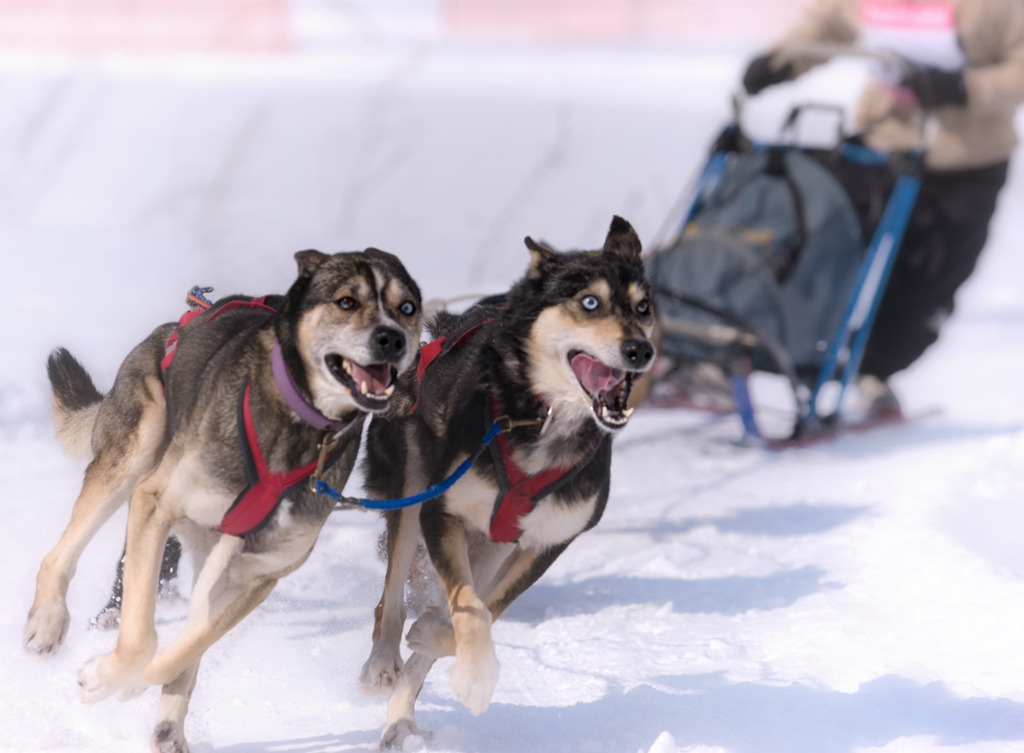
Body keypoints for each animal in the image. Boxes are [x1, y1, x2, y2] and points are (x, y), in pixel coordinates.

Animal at [24, 248, 423, 753]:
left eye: (407, 307)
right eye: (346, 301)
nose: (392, 339)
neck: (301, 428)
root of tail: (173, 327)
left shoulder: (259, 573)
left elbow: (184, 646)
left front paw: (126, 683)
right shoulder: (155, 503)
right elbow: (141, 639)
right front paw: (105, 677)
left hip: (212, 548)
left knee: (190, 633)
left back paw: (168, 725)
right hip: (135, 453)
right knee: (60, 555)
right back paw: (48, 622)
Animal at [356, 216, 651, 749]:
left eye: (643, 307)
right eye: (590, 302)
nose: (641, 349)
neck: (543, 422)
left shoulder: (546, 542)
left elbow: (483, 611)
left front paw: (445, 644)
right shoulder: (442, 512)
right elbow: (468, 607)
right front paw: (475, 677)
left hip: (492, 549)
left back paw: (401, 717)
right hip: (410, 491)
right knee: (389, 602)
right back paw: (383, 664)